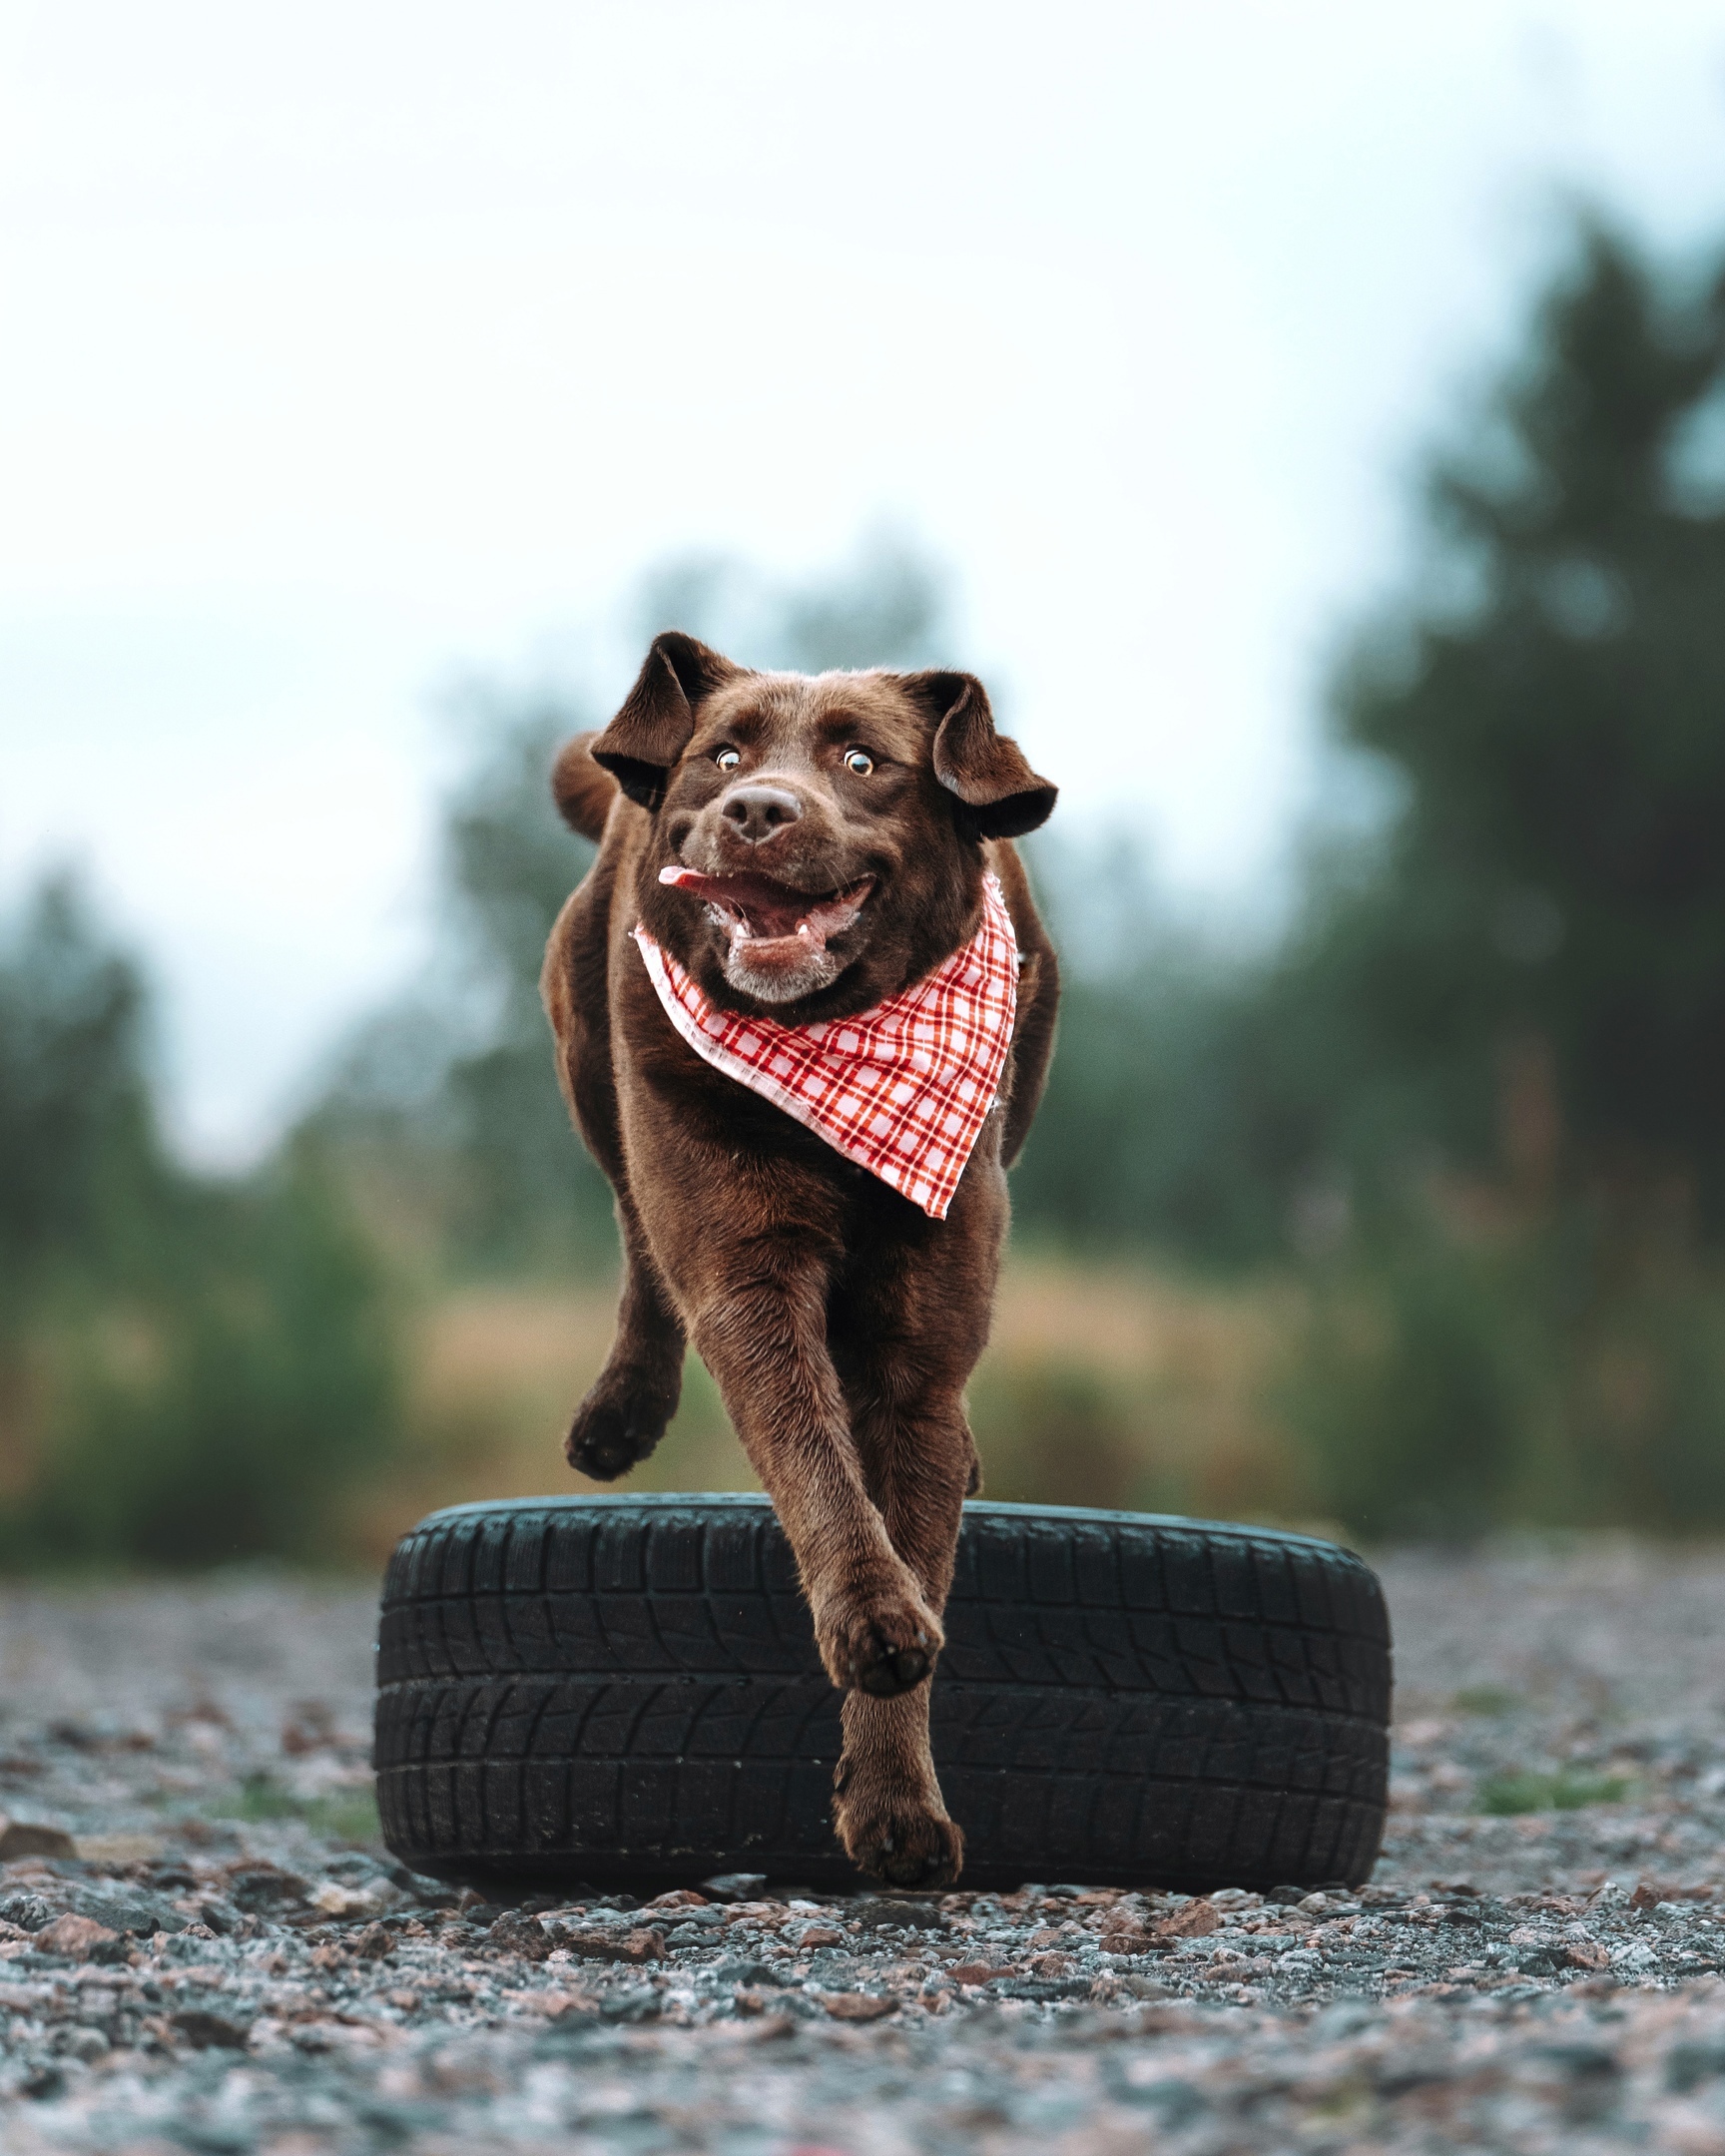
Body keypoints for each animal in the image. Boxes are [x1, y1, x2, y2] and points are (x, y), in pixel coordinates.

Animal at [543, 629, 1052, 1880]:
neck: (833, 1052)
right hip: (588, 1049)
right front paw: (875, 1622)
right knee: (635, 1231)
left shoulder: (921, 1332)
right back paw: (621, 1406)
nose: (756, 812)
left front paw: (897, 1805)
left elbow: (914, 1477)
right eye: (724, 755)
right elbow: (813, 1453)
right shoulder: (744, 1268)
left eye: (864, 762)